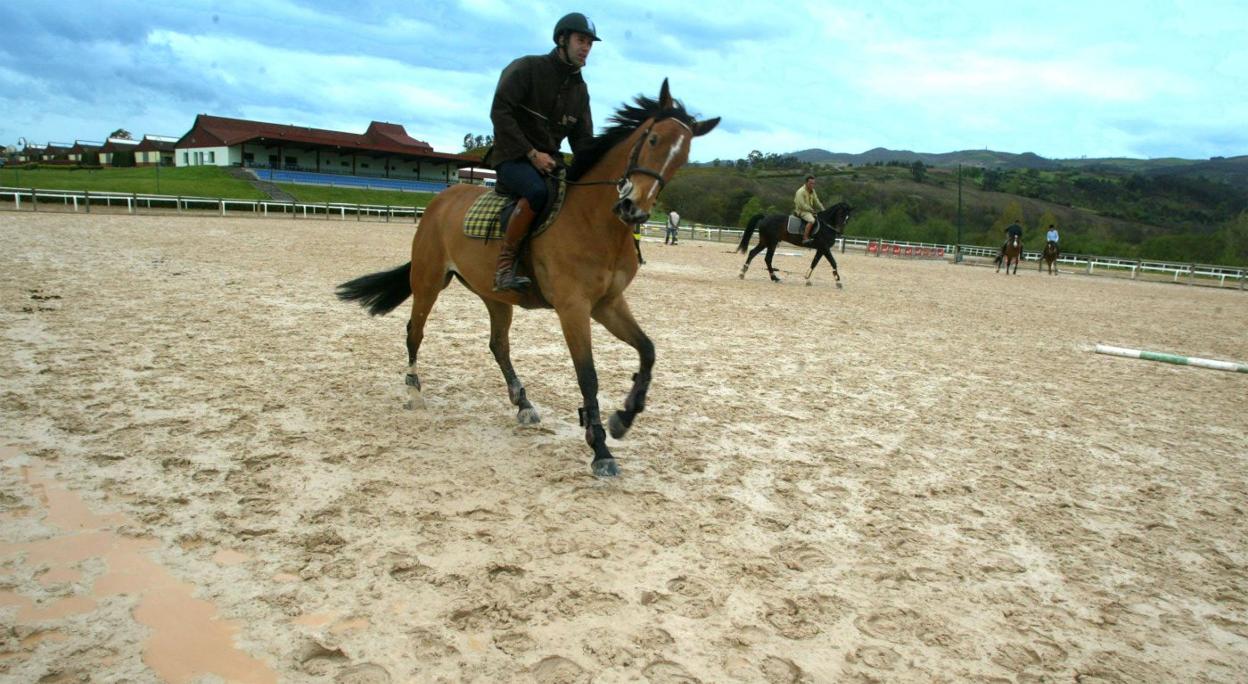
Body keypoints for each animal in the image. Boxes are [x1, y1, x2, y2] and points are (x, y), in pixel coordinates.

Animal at [336, 79, 723, 476]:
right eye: (653, 140)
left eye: (682, 159)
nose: (634, 208)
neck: (595, 221)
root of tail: (441, 200)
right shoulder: (573, 308)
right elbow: (588, 375)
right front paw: (600, 449)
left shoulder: (607, 304)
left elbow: (647, 351)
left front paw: (623, 419)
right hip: (428, 281)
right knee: (415, 331)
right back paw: (414, 392)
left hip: (494, 295)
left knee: (498, 345)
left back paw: (523, 404)